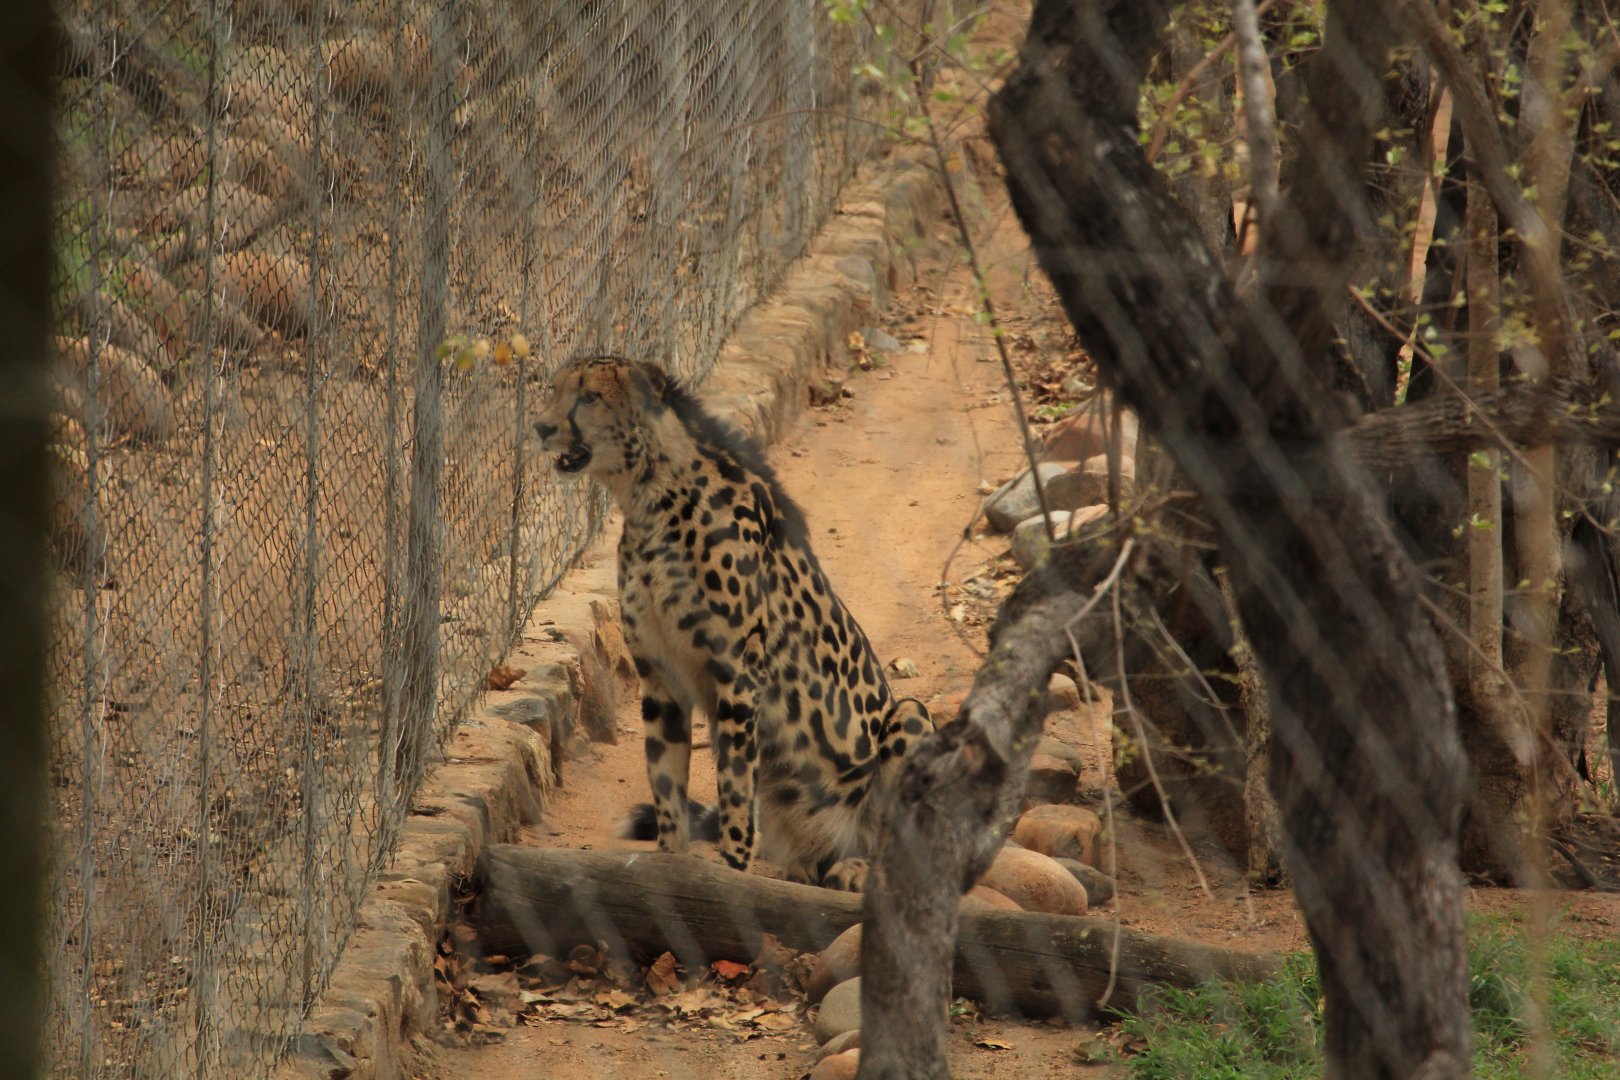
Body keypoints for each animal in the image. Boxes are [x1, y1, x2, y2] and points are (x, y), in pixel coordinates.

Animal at [533, 355, 930, 890]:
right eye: (553, 390)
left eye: (590, 396)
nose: (541, 426)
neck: (651, 494)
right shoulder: (660, 677)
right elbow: (667, 784)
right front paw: (669, 866)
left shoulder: (739, 675)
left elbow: (735, 788)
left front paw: (732, 875)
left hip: (909, 716)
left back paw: (858, 867)